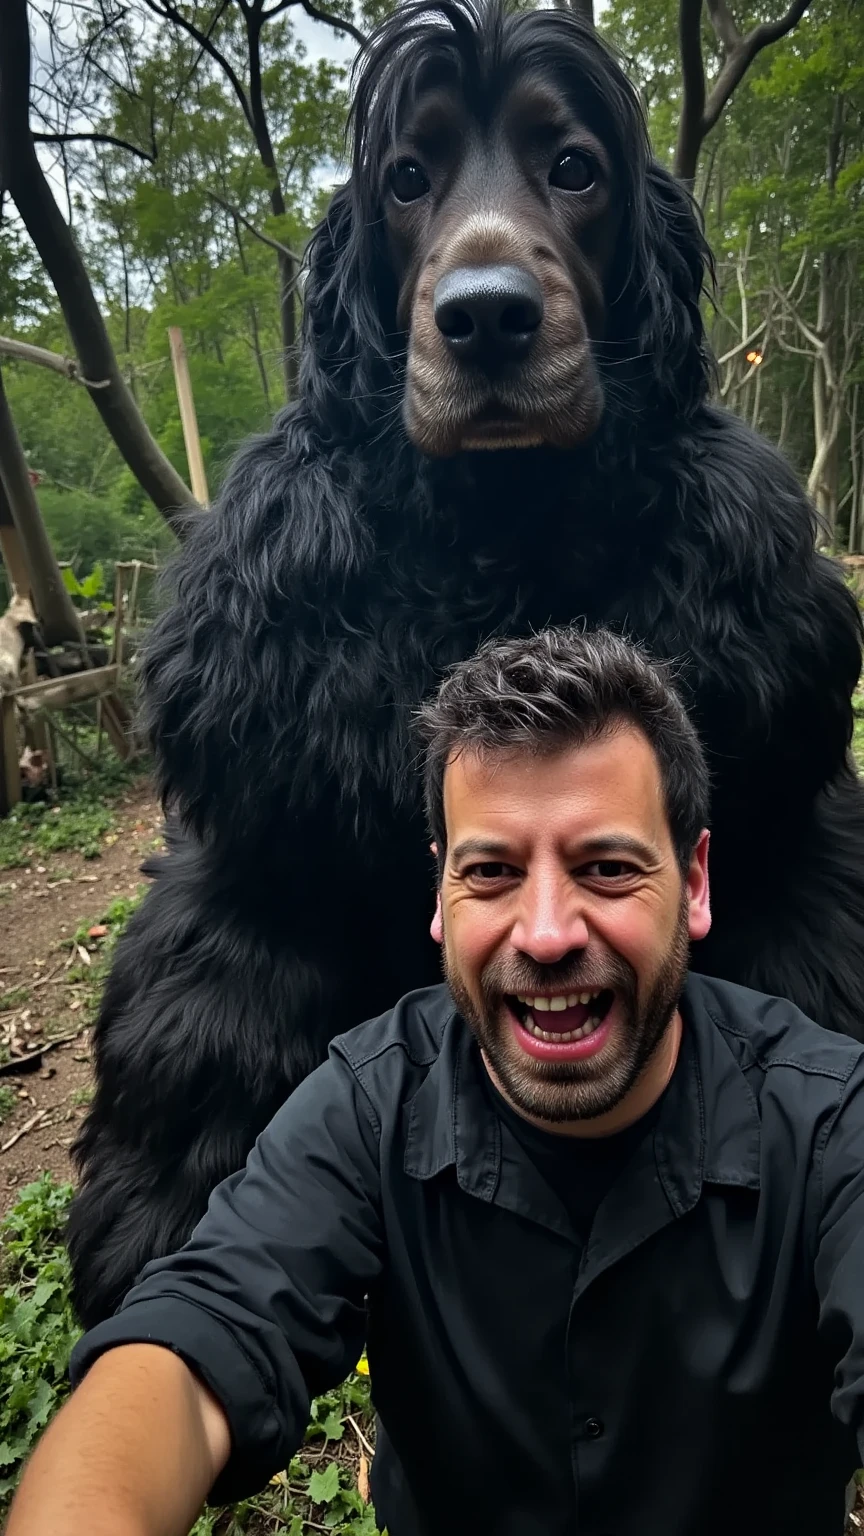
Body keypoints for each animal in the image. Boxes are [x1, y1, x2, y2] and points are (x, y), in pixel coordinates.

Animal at [65, 0, 860, 1327]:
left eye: (575, 168)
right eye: (406, 179)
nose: (487, 317)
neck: (500, 526)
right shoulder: (261, 802)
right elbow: (208, 1000)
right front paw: (148, 1214)